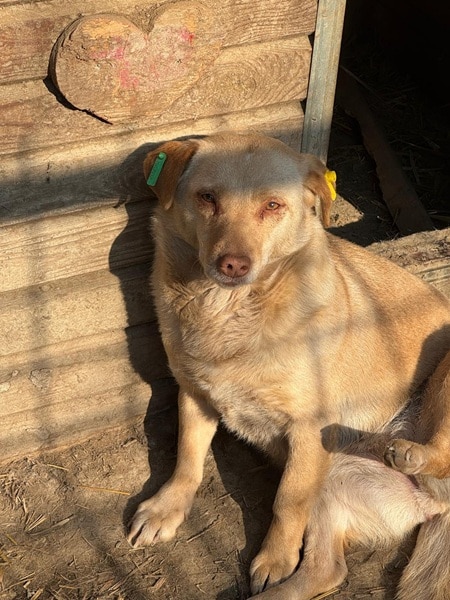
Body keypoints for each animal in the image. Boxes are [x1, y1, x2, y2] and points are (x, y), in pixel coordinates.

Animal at [127, 132, 450, 599]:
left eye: (273, 206)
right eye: (207, 198)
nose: (233, 264)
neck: (229, 313)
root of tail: (437, 502)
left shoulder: (307, 432)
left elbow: (285, 503)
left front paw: (275, 558)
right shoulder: (195, 395)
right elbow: (187, 459)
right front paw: (165, 509)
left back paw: (410, 451)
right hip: (336, 473)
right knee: (326, 570)